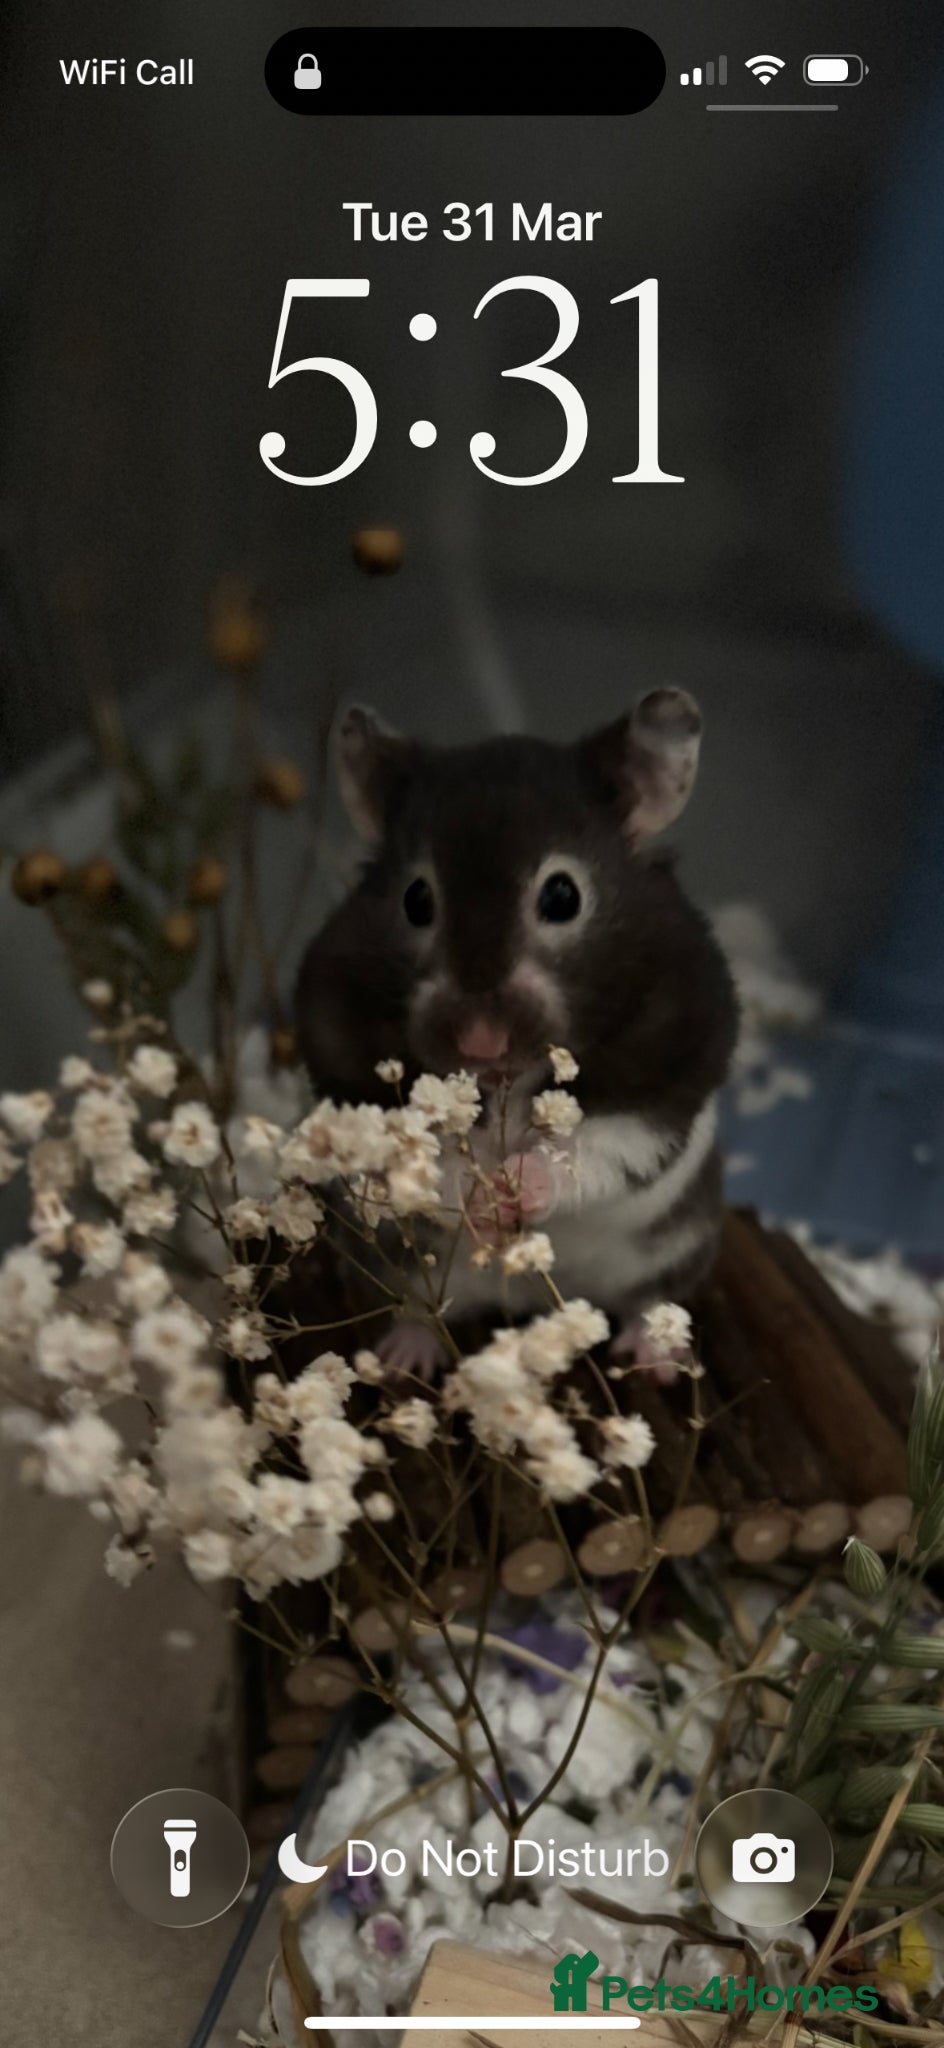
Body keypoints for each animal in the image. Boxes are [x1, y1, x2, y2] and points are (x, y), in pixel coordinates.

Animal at [295, 689, 739, 1373]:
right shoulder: (341, 1058)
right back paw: (403, 1358)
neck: (510, 1078)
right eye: (415, 900)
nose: (481, 1043)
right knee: (417, 1307)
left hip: (681, 1243)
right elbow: (426, 1159)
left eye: (562, 896)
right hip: (398, 1267)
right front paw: (482, 1199)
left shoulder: (668, 1076)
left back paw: (656, 1360)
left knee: (651, 1300)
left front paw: (516, 1188)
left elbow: (597, 1146)